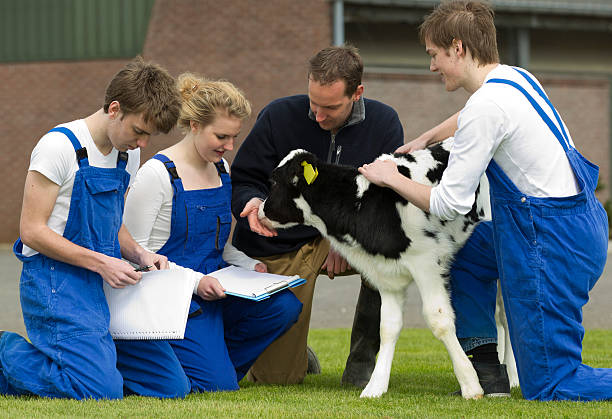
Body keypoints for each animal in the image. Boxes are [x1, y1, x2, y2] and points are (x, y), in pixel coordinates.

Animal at [260, 140, 512, 400]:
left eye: (275, 181)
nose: (260, 211)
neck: (364, 204)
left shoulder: (427, 262)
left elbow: (439, 320)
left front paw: (470, 384)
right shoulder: (386, 273)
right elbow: (388, 327)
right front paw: (375, 386)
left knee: (505, 316)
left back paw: (511, 379)